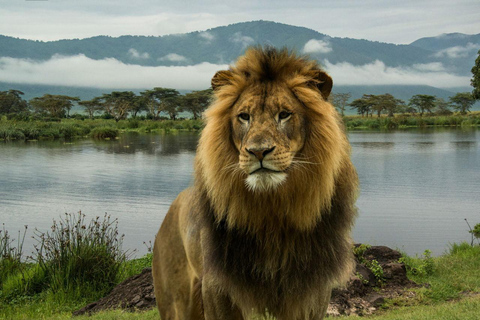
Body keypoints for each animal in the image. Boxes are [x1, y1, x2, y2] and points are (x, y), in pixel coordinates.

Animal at [152, 45, 358, 320]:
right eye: (244, 116)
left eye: (284, 115)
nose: (258, 151)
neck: (271, 211)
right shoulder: (218, 287)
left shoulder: (312, 291)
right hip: (176, 302)